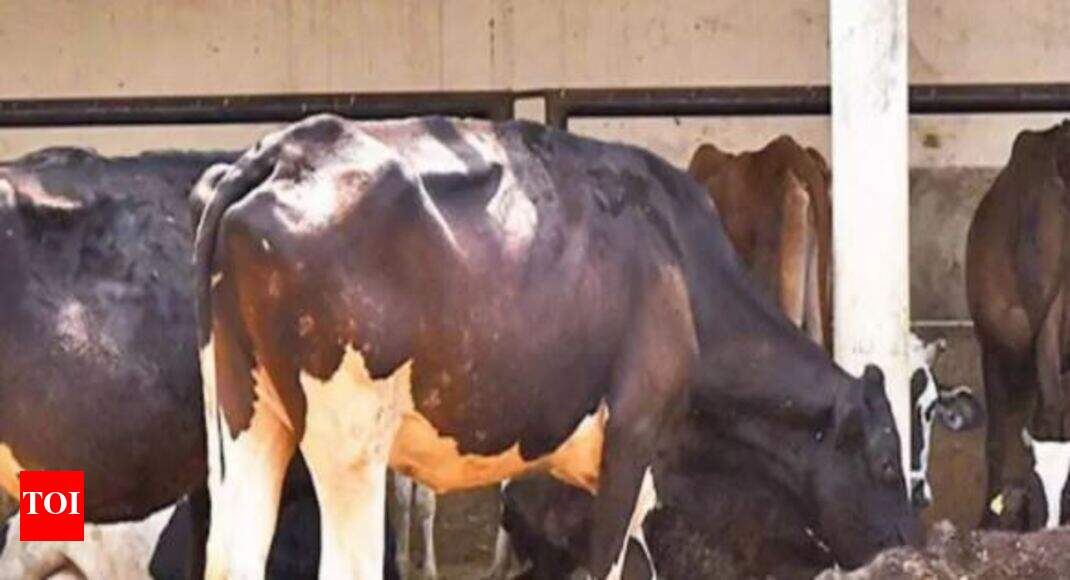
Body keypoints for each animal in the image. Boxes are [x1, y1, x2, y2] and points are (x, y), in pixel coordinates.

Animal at [193, 114, 919, 579]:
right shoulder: (633, 436)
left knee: (233, 557)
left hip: (247, 421)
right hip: (350, 442)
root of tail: (282, 154)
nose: (908, 545)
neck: (682, 267)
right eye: (887, 463)